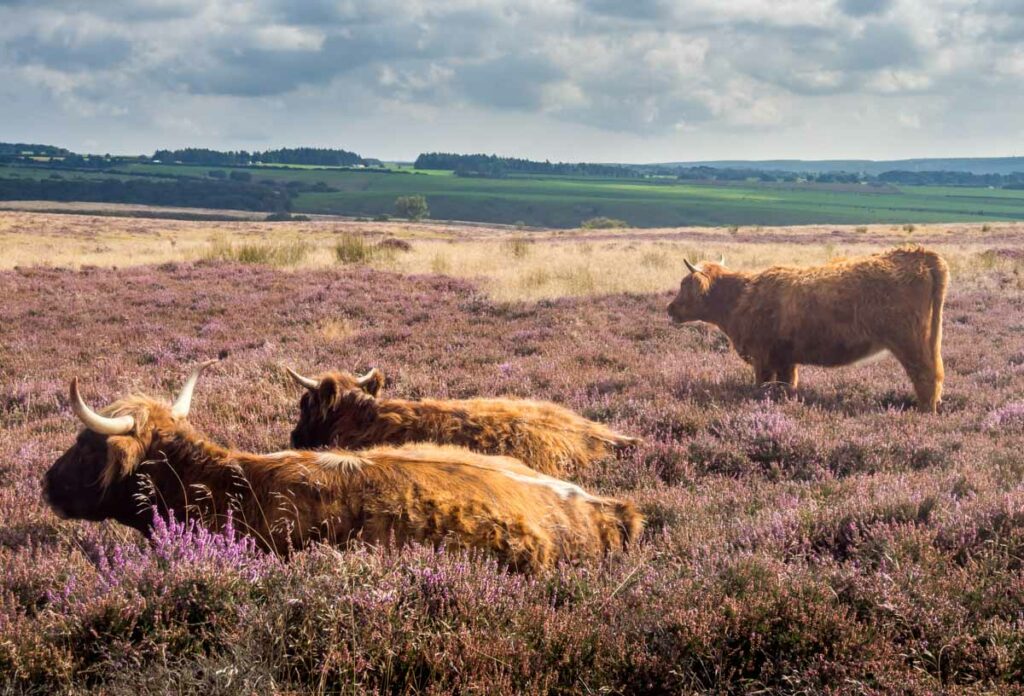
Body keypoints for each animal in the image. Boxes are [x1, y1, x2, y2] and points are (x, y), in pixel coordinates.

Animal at [667, 245, 946, 413]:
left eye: (683, 284)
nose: (669, 309)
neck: (740, 298)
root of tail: (921, 254)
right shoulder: (784, 358)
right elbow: (786, 384)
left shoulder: (762, 357)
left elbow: (762, 385)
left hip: (909, 341)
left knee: (925, 375)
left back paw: (924, 411)